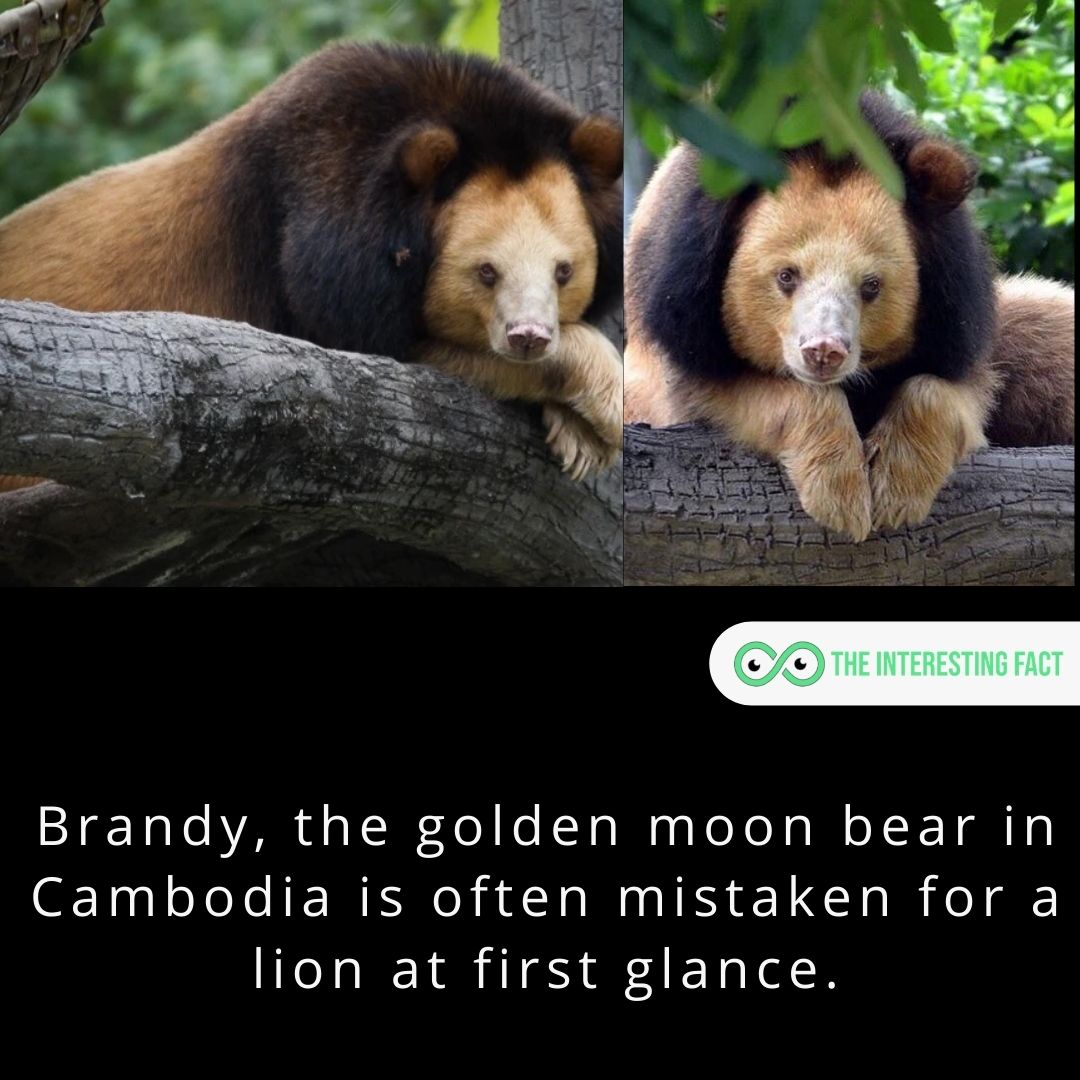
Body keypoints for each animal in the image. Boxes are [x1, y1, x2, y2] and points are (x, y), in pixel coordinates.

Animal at [0, 43, 624, 490]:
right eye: (486, 272)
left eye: (564, 271)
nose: (529, 337)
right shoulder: (317, 238)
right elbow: (371, 348)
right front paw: (597, 409)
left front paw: (575, 430)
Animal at [625, 90, 1074, 541]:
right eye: (786, 276)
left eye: (871, 285)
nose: (824, 351)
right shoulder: (682, 320)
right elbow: (737, 393)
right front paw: (840, 497)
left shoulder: (957, 317)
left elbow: (953, 388)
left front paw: (896, 489)